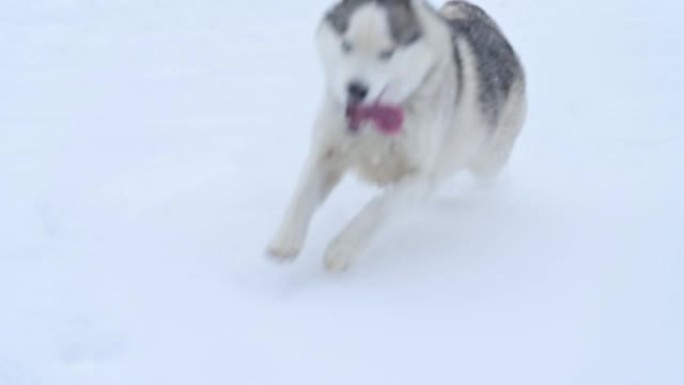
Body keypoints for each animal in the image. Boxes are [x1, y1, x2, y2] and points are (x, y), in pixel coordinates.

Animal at [266, 0, 524, 270]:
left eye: (387, 53)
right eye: (347, 45)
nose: (356, 89)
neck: (375, 127)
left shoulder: (421, 177)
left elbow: (380, 207)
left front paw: (342, 248)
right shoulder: (328, 151)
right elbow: (302, 195)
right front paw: (285, 241)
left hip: (487, 162)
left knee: (486, 182)